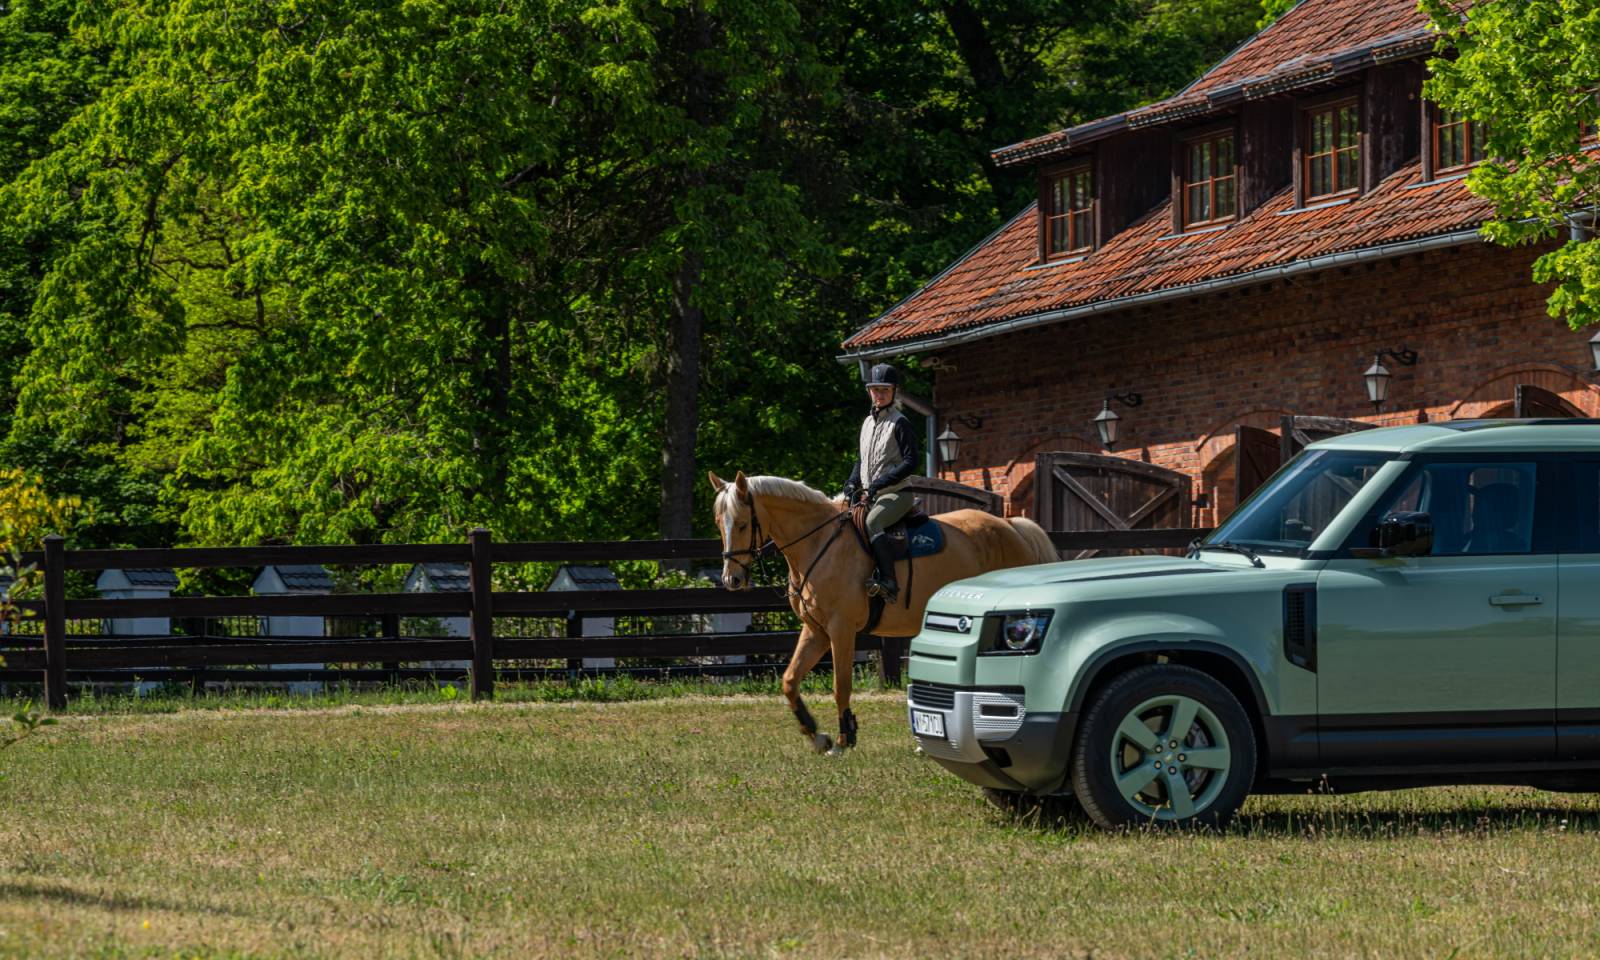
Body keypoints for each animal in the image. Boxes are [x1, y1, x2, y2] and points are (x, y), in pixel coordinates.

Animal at [707, 476, 1056, 755]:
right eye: (718, 522)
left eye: (741, 523)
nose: (731, 579)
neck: (818, 545)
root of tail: (1011, 526)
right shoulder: (816, 631)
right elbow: (790, 681)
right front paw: (818, 736)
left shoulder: (841, 630)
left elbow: (841, 686)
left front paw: (844, 739)